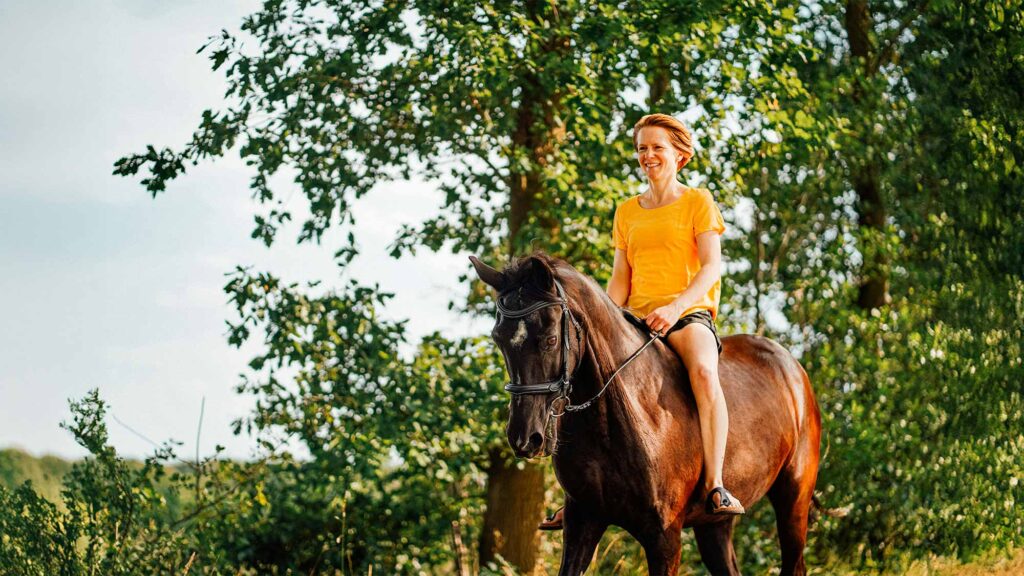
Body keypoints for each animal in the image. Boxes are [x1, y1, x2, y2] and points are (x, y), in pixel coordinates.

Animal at [470, 253, 821, 576]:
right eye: (498, 339)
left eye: (550, 339)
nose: (525, 438)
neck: (616, 420)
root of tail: (792, 368)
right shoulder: (582, 522)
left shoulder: (664, 538)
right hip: (714, 524)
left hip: (794, 500)